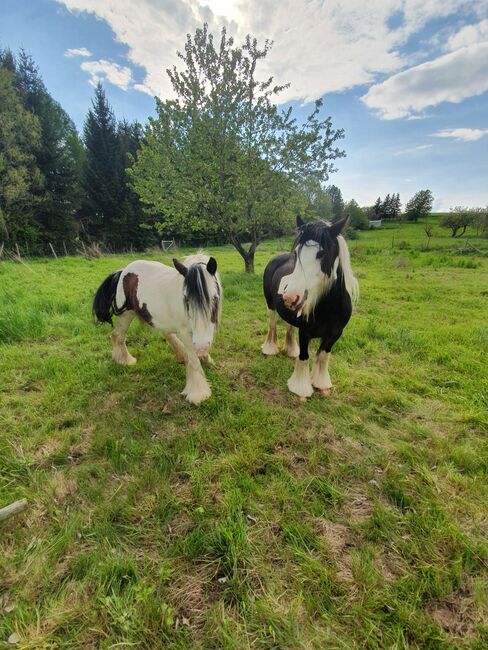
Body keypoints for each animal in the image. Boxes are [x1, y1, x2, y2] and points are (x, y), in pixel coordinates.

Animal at [92, 252, 222, 400]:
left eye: (215, 298)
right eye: (186, 299)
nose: (202, 348)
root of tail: (123, 271)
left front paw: (207, 360)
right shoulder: (185, 333)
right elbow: (194, 361)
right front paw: (199, 394)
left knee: (166, 334)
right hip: (126, 314)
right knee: (117, 335)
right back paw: (124, 360)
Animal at [264, 218, 358, 398]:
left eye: (322, 254)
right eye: (297, 253)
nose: (290, 297)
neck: (329, 308)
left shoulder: (335, 334)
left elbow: (323, 355)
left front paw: (321, 384)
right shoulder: (305, 332)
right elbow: (304, 356)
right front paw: (300, 388)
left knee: (290, 328)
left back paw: (290, 350)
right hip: (270, 304)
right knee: (272, 324)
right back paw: (270, 349)